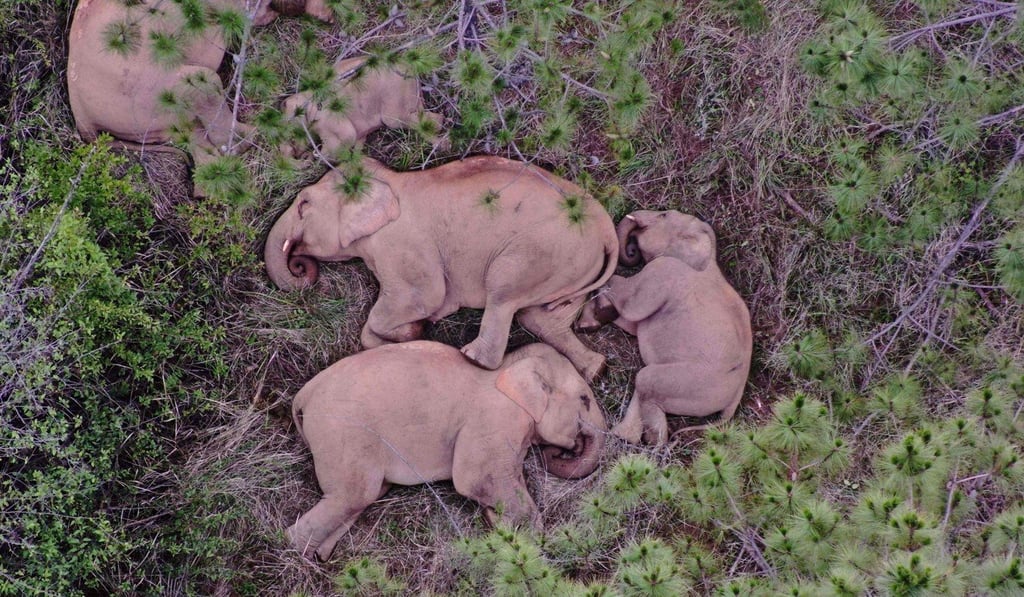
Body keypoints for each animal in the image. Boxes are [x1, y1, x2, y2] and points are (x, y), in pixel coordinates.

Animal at [264, 156, 618, 380]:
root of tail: (607, 230)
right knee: (541, 317)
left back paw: (470, 357)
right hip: (573, 265)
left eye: (304, 204)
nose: (300, 265)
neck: (390, 180)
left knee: (503, 294)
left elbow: (425, 296)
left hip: (541, 251)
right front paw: (412, 332)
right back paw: (596, 369)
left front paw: (416, 328)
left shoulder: (404, 245)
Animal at [280, 57, 444, 160]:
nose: (300, 155)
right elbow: (357, 142)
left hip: (395, 94)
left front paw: (317, 154)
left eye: (292, 139)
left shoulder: (326, 117)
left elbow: (347, 136)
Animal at [286, 341, 608, 560]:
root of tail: (304, 395)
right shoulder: (494, 419)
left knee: (361, 497)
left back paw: (319, 555)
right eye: (585, 399)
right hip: (342, 432)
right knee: (354, 495)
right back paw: (292, 548)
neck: (510, 365)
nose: (564, 450)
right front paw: (528, 543)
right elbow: (475, 479)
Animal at [577, 210, 753, 445]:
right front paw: (595, 319)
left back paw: (653, 441)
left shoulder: (663, 272)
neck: (709, 258)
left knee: (645, 380)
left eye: (663, 214)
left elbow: (629, 302)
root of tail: (735, 399)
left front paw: (597, 314)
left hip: (692, 382)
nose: (632, 248)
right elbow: (632, 324)